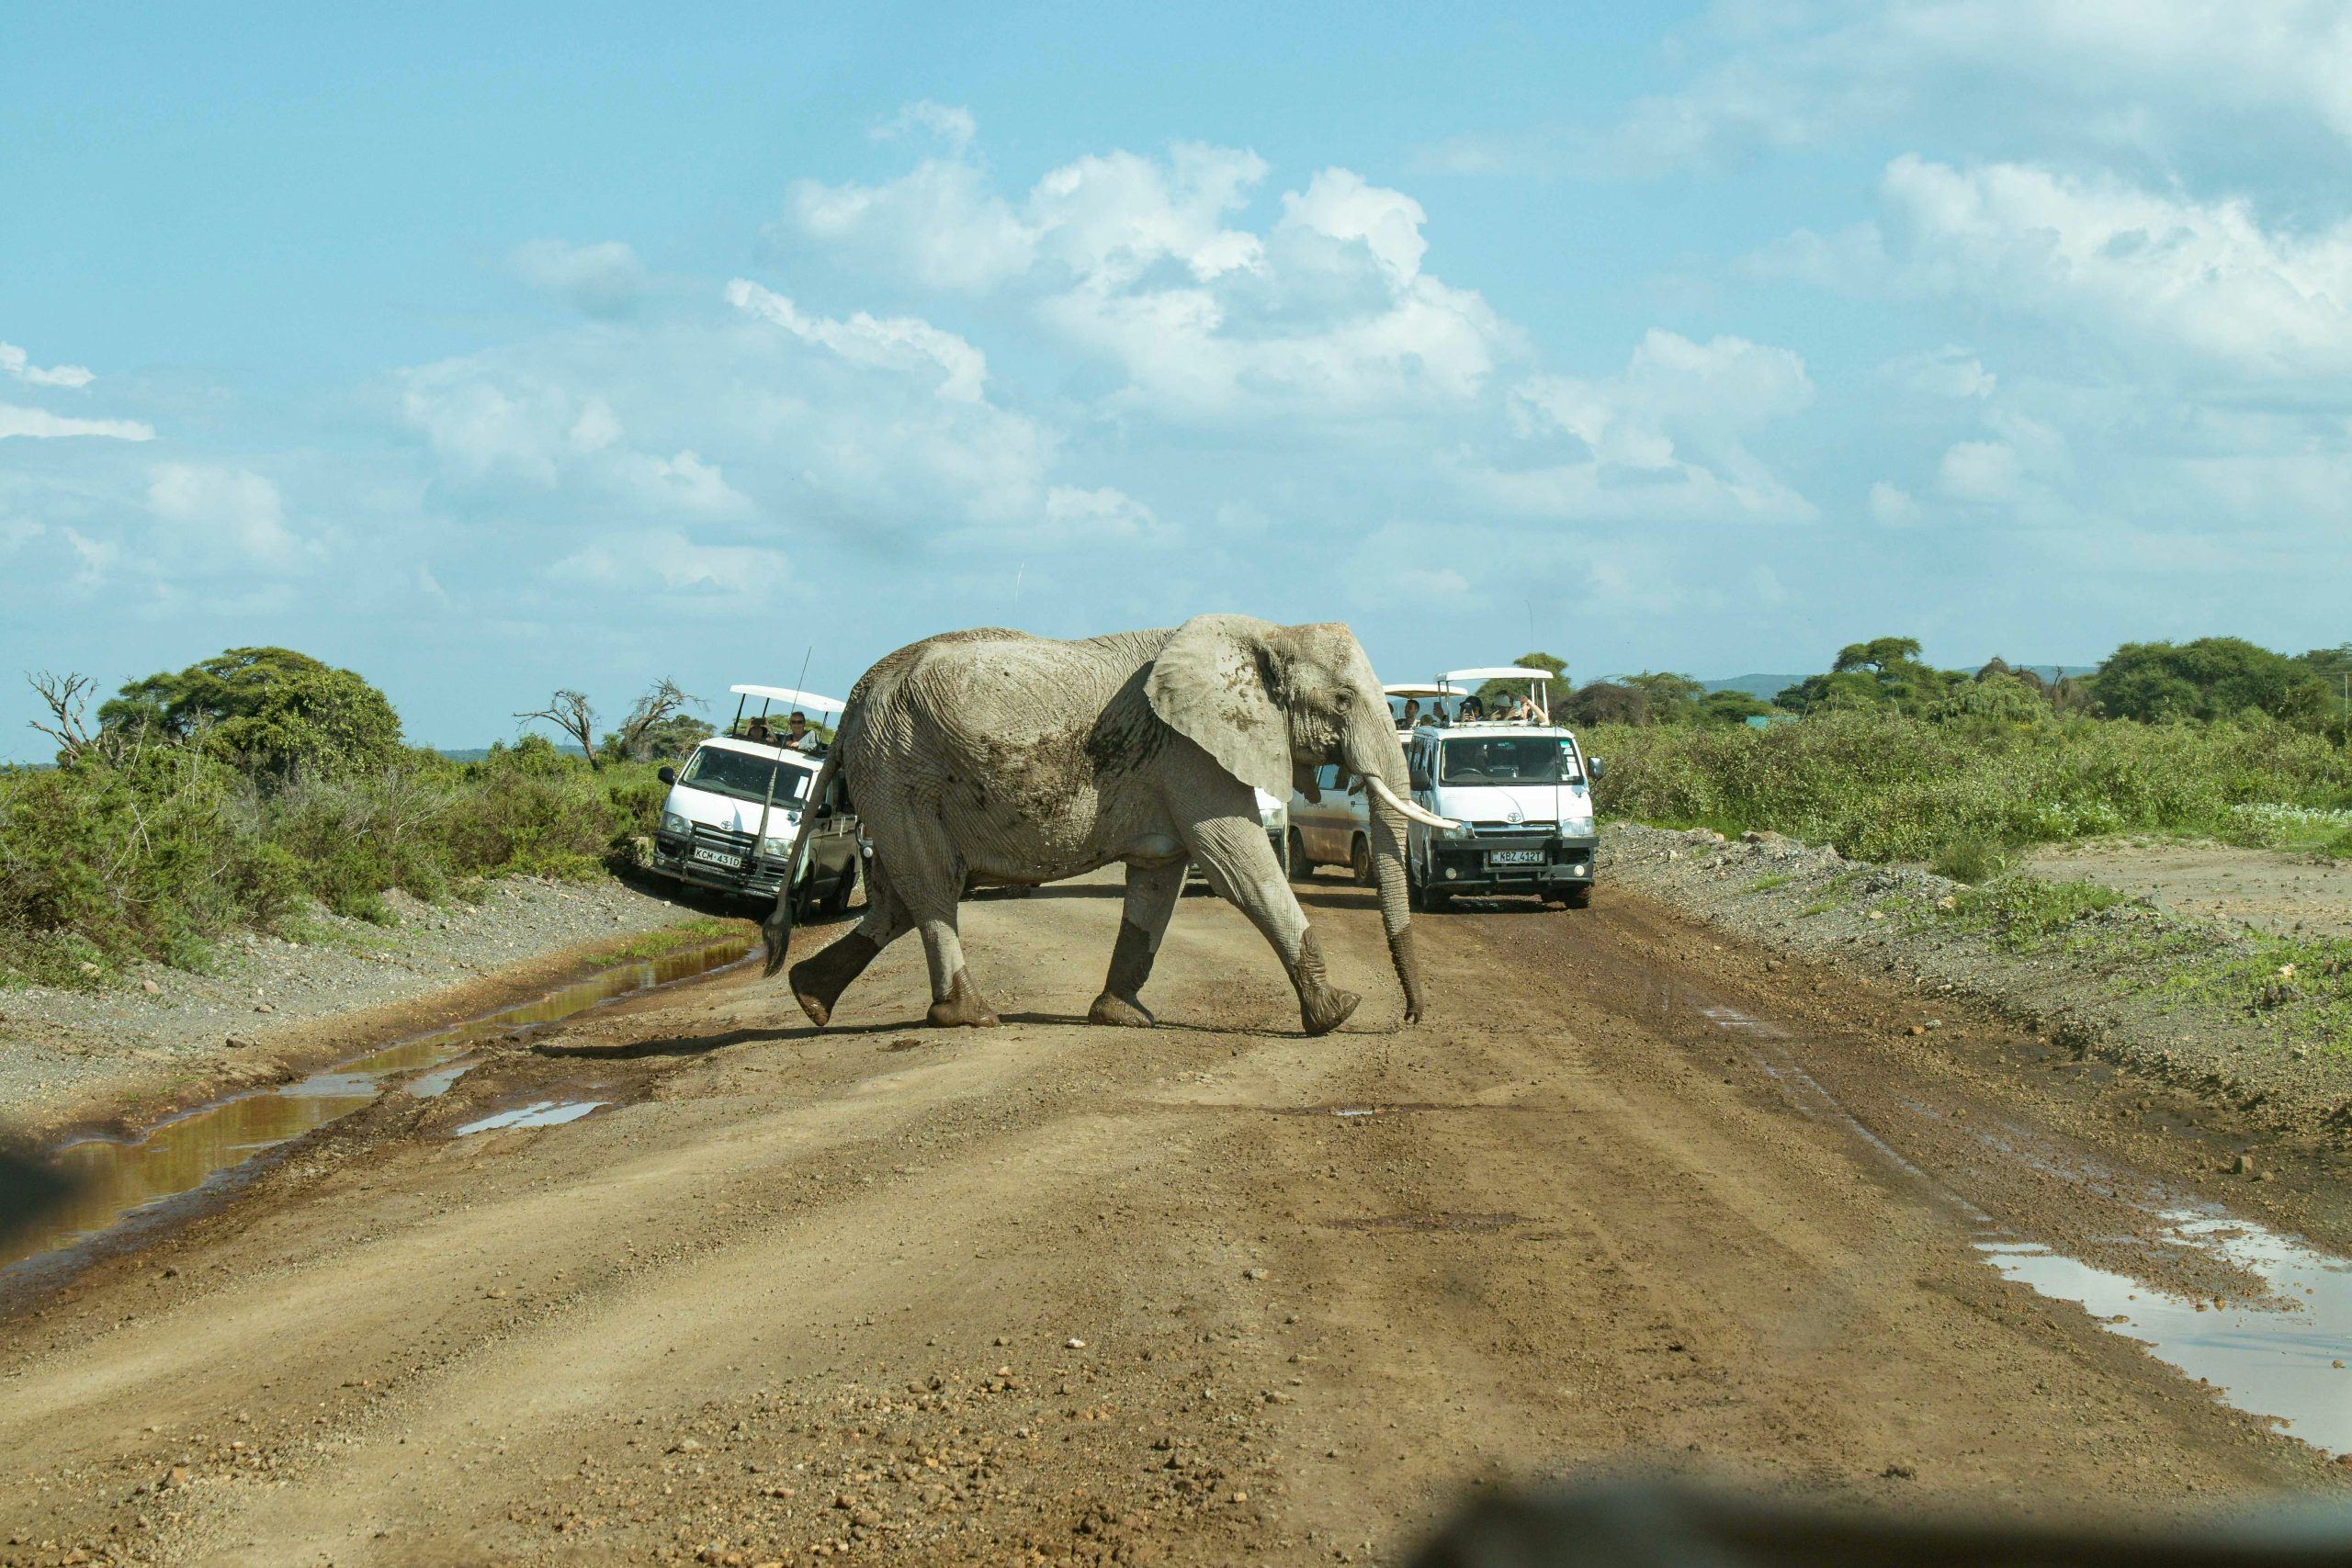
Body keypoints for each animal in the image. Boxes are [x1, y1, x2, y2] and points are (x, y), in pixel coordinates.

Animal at [757, 615, 1448, 1043]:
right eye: (1341, 701)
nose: (1411, 1018)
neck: (1264, 633)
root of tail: (855, 695)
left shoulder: (1174, 766)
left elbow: (1158, 884)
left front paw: (1122, 1016)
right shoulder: (1191, 754)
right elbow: (1239, 867)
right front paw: (1338, 1014)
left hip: (892, 777)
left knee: (901, 898)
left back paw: (809, 997)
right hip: (901, 770)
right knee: (931, 887)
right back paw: (972, 1016)